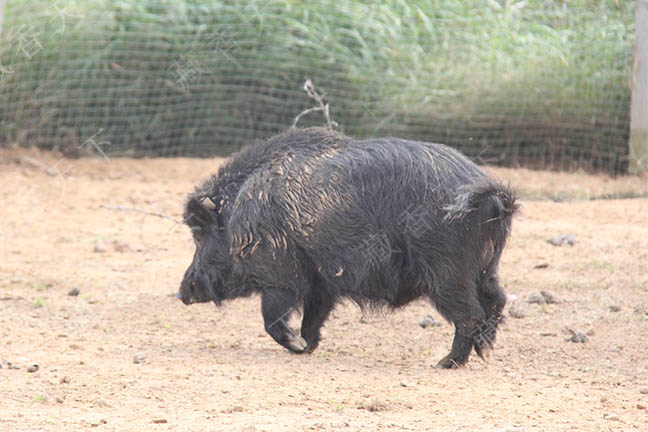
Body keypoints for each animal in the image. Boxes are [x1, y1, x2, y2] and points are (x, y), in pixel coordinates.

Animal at [176, 127, 516, 368]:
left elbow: (272, 317)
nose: (181, 292)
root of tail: (492, 195)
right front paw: (307, 347)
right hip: (486, 267)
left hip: (447, 270)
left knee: (470, 313)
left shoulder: (281, 276)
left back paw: (445, 363)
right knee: (496, 300)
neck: (239, 215)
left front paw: (296, 346)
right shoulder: (321, 283)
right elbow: (313, 317)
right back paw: (484, 352)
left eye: (199, 233)